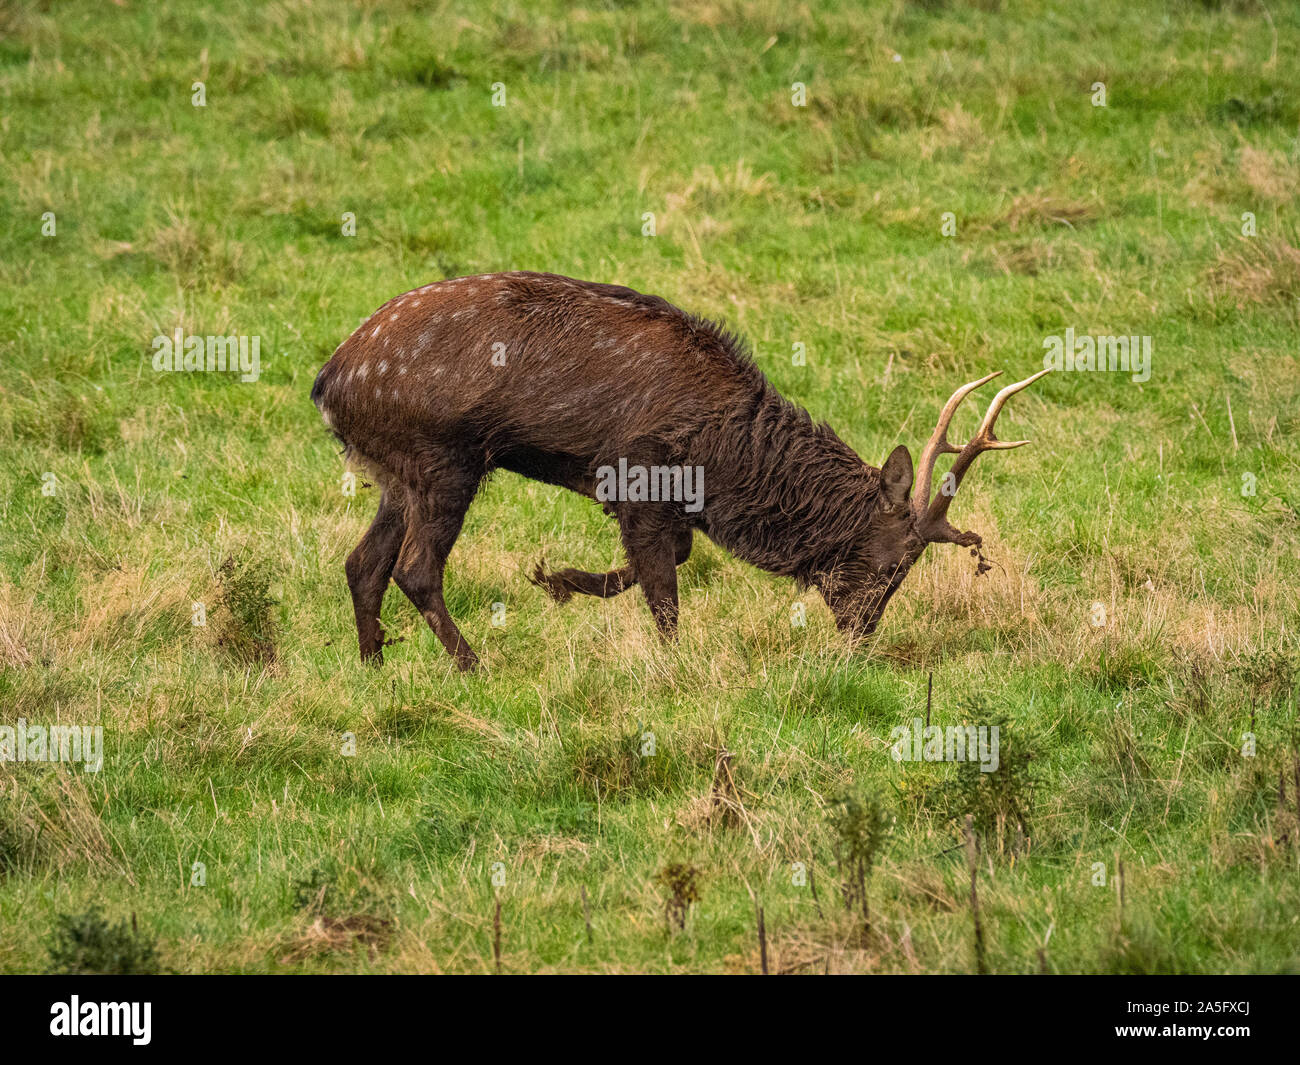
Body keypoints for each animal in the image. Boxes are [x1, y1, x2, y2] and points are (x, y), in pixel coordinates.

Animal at [312, 271, 1050, 671]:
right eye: (895, 562)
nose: (862, 637)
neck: (725, 458)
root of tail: (328, 382)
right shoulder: (637, 473)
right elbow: (664, 588)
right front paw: (668, 661)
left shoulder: (662, 498)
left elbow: (671, 557)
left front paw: (561, 578)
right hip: (443, 457)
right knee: (414, 568)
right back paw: (473, 665)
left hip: (396, 472)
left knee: (362, 562)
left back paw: (375, 663)